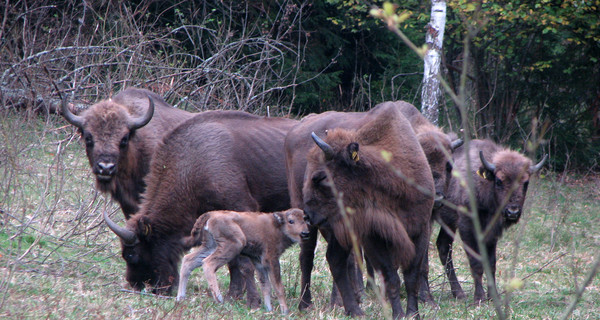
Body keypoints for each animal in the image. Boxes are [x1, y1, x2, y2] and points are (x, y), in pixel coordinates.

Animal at [105, 110, 298, 300]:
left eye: (132, 254)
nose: (135, 285)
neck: (193, 164)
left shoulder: (242, 210)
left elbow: (243, 262)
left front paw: (252, 300)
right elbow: (233, 262)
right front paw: (233, 295)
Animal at [176, 208, 310, 316]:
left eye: (305, 219)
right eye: (291, 221)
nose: (305, 233)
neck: (277, 226)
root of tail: (211, 214)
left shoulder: (259, 262)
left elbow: (265, 286)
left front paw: (268, 309)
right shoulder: (272, 260)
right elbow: (278, 287)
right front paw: (285, 311)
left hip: (210, 245)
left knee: (188, 260)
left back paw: (180, 298)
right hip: (233, 245)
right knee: (208, 263)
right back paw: (220, 300)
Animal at [288, 104, 434, 318]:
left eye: (321, 177)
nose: (308, 214)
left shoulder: (421, 229)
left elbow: (411, 276)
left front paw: (413, 313)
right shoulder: (374, 237)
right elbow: (391, 277)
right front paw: (399, 314)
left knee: (335, 260)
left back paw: (354, 310)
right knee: (310, 257)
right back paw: (312, 305)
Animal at [434, 139, 548, 302]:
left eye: (525, 183)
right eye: (499, 181)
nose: (512, 212)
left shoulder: (492, 233)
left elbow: (491, 263)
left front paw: (493, 296)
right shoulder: (467, 227)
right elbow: (476, 262)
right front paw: (479, 297)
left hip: (447, 223)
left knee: (443, 247)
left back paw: (459, 293)